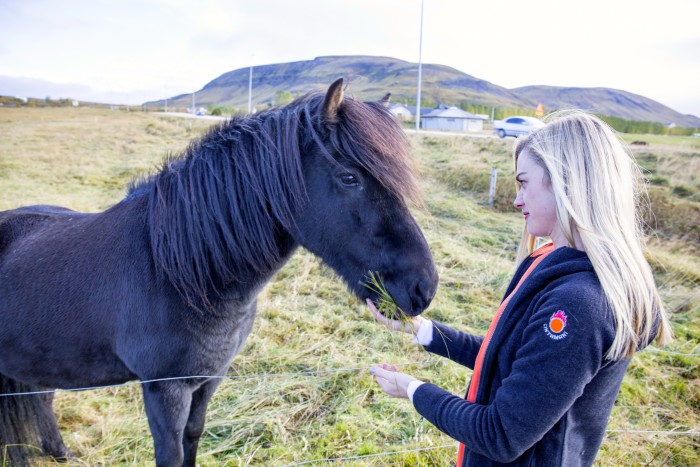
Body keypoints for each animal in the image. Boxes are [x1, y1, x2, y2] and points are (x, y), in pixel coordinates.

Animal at [0, 78, 438, 466]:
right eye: (349, 177)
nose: (424, 287)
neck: (178, 273)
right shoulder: (164, 390)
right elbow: (171, 454)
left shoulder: (210, 380)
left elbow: (193, 438)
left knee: (40, 398)